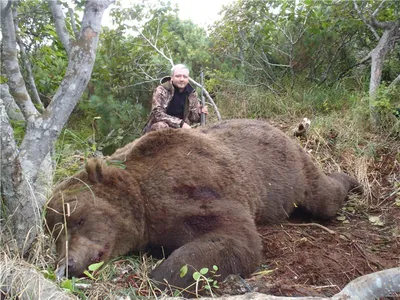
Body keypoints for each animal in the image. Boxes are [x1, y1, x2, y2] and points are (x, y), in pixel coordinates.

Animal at [45, 118, 360, 290]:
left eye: (78, 219)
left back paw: (352, 179)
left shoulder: (188, 192)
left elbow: (235, 236)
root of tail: (278, 128)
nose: (67, 265)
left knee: (323, 198)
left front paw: (163, 274)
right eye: (53, 233)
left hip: (290, 171)